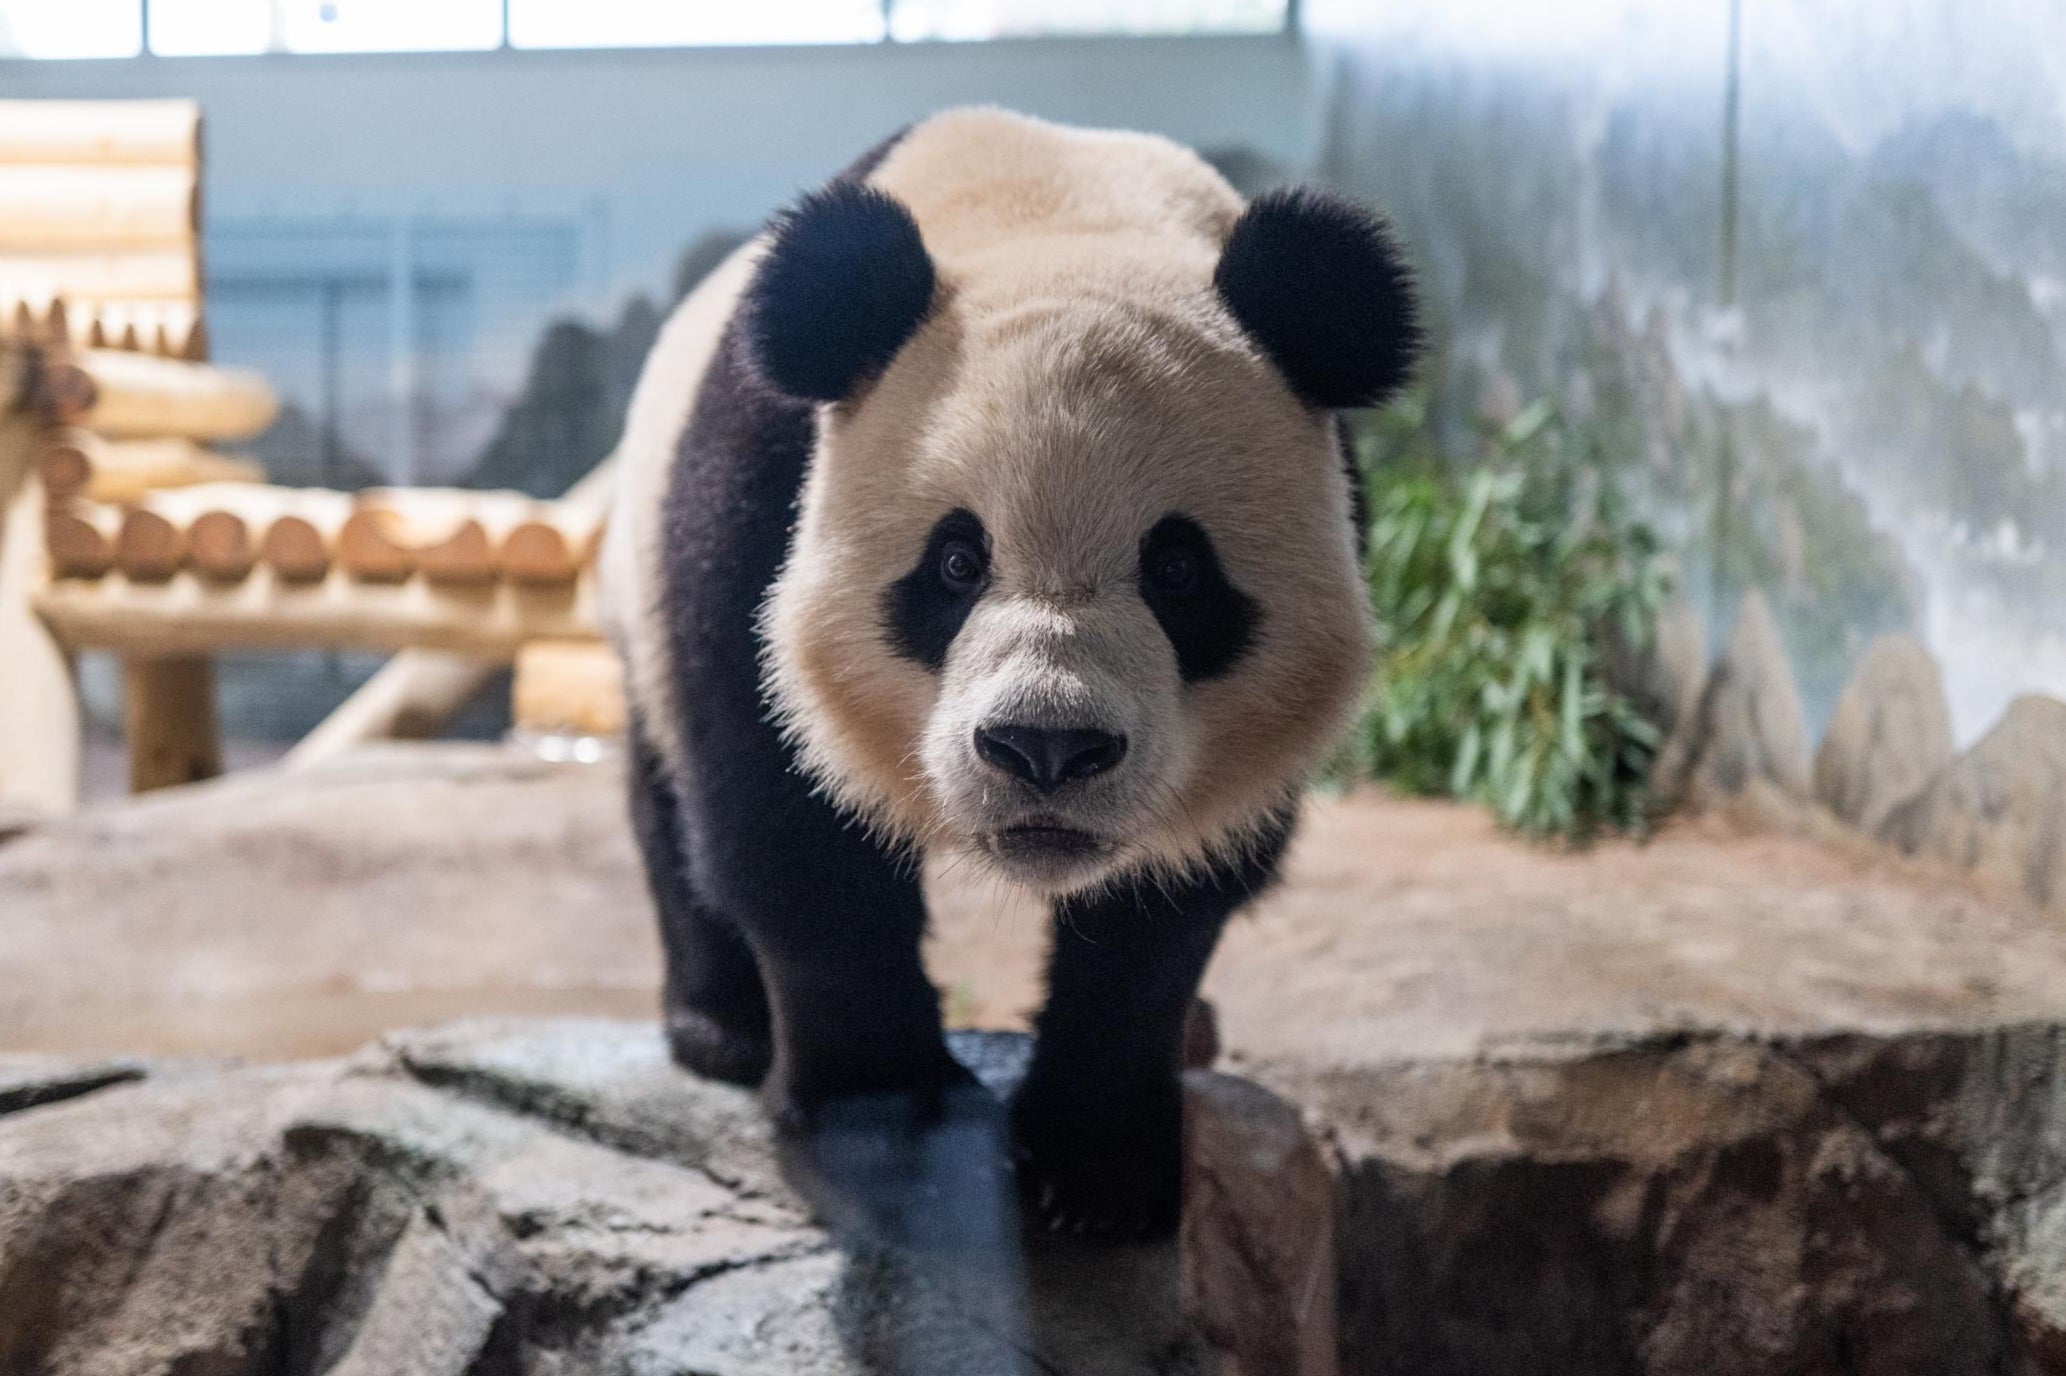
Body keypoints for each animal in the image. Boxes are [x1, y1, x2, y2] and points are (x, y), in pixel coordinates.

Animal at [603, 112, 1421, 1239]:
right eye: (956, 562)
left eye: (1177, 570)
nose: (1045, 747)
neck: (1055, 210)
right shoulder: (758, 488)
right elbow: (782, 810)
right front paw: (880, 1113)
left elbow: (1165, 911)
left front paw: (1098, 1166)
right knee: (669, 796)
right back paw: (719, 1026)